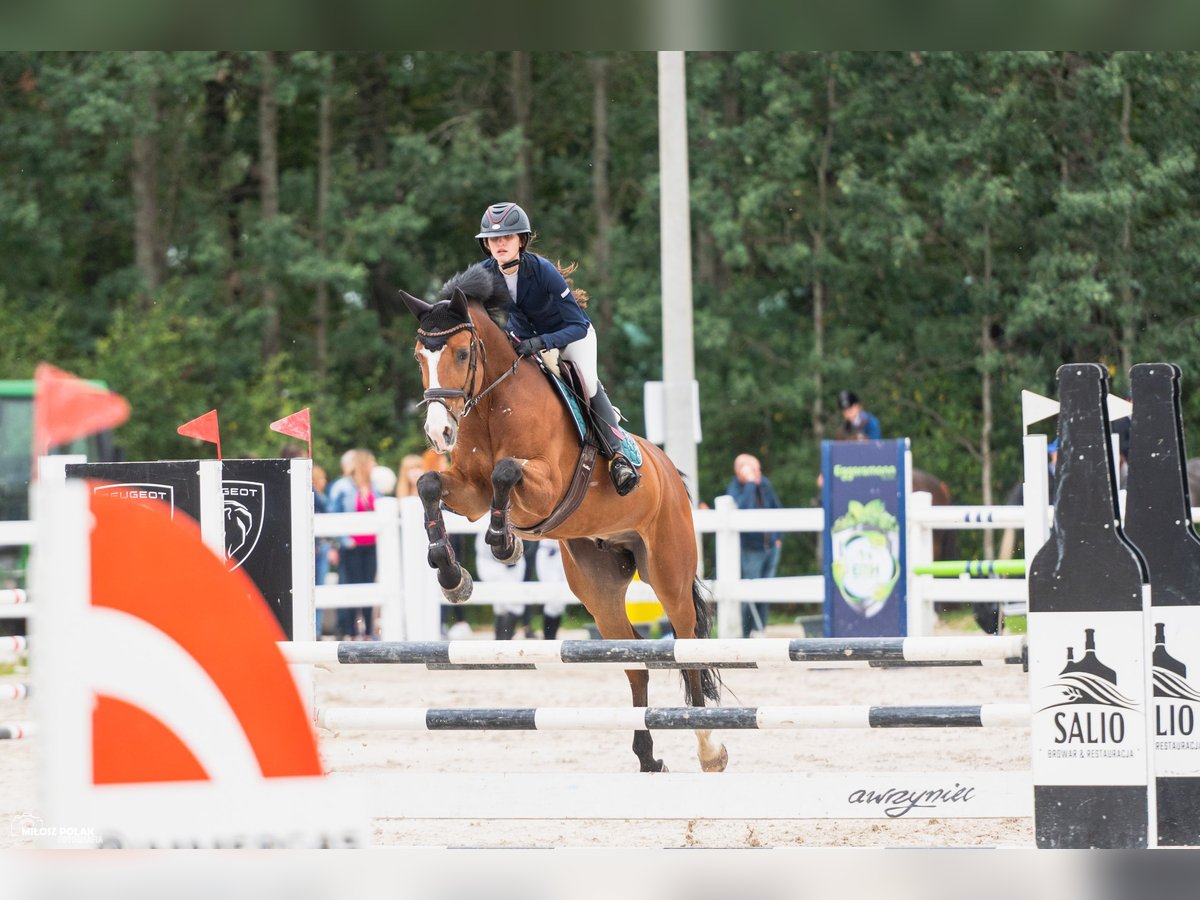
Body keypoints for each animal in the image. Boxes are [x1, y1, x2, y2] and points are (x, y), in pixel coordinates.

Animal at [398, 266, 724, 777]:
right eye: (420, 356)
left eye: (463, 352)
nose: (439, 432)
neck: (491, 404)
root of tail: (671, 472)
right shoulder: (469, 492)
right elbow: (430, 484)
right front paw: (453, 576)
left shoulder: (544, 484)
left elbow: (505, 472)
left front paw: (503, 542)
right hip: (598, 587)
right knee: (634, 661)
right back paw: (647, 756)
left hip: (668, 573)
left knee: (687, 647)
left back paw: (710, 748)